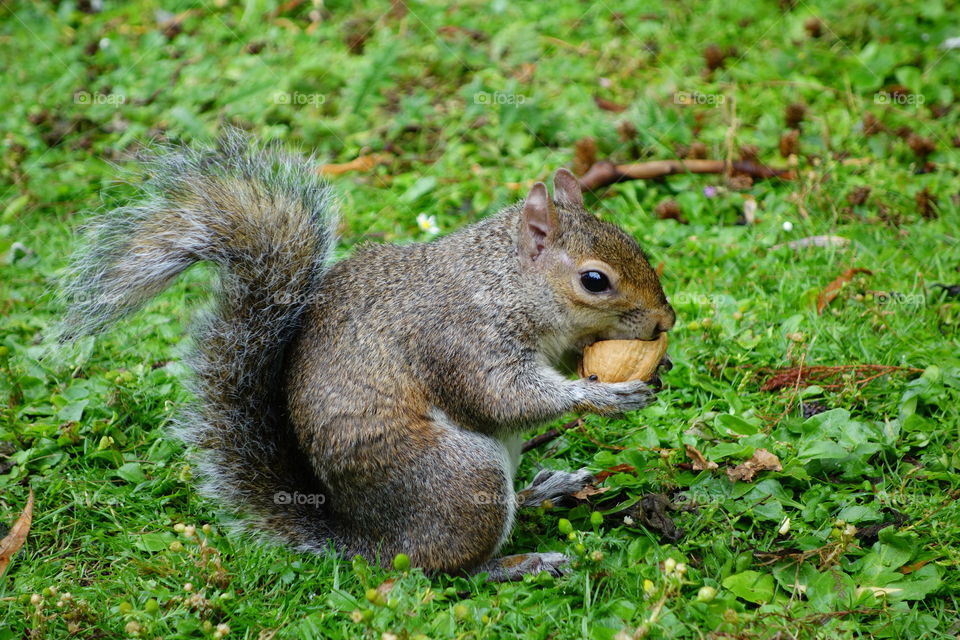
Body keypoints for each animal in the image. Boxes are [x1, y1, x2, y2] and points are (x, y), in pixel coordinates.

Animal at [60, 131, 675, 581]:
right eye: (594, 280)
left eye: (631, 240)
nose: (665, 322)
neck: (501, 281)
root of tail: (368, 542)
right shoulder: (461, 340)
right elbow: (504, 397)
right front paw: (604, 395)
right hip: (461, 479)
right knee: (444, 569)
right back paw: (519, 563)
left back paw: (544, 491)